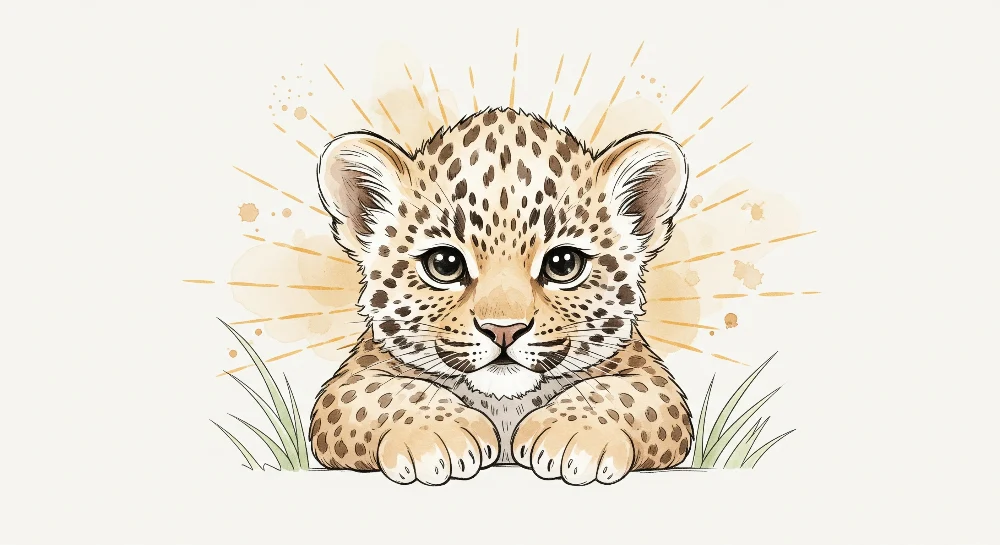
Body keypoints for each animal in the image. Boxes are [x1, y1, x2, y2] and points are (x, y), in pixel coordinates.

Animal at [309, 107, 694, 485]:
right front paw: (439, 435)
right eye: (444, 264)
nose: (504, 330)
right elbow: (387, 393)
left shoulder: (654, 380)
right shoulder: (349, 383)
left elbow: (622, 393)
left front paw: (571, 436)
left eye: (563, 264)